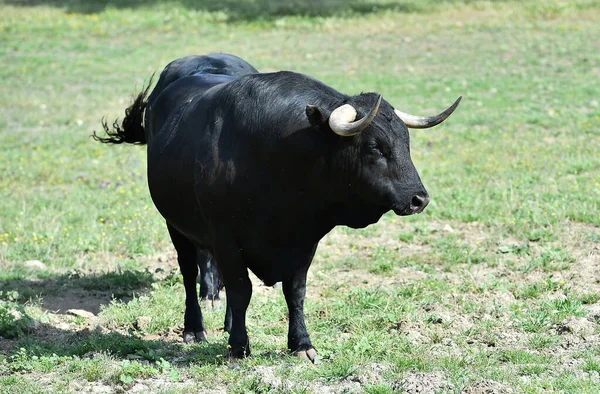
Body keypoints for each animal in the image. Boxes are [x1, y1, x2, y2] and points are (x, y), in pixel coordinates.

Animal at [94, 53, 462, 362]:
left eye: (405, 143)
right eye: (375, 147)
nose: (419, 198)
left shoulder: (305, 240)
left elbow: (294, 292)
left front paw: (301, 344)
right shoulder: (226, 238)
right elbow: (241, 289)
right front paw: (239, 347)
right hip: (175, 224)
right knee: (189, 273)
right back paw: (194, 327)